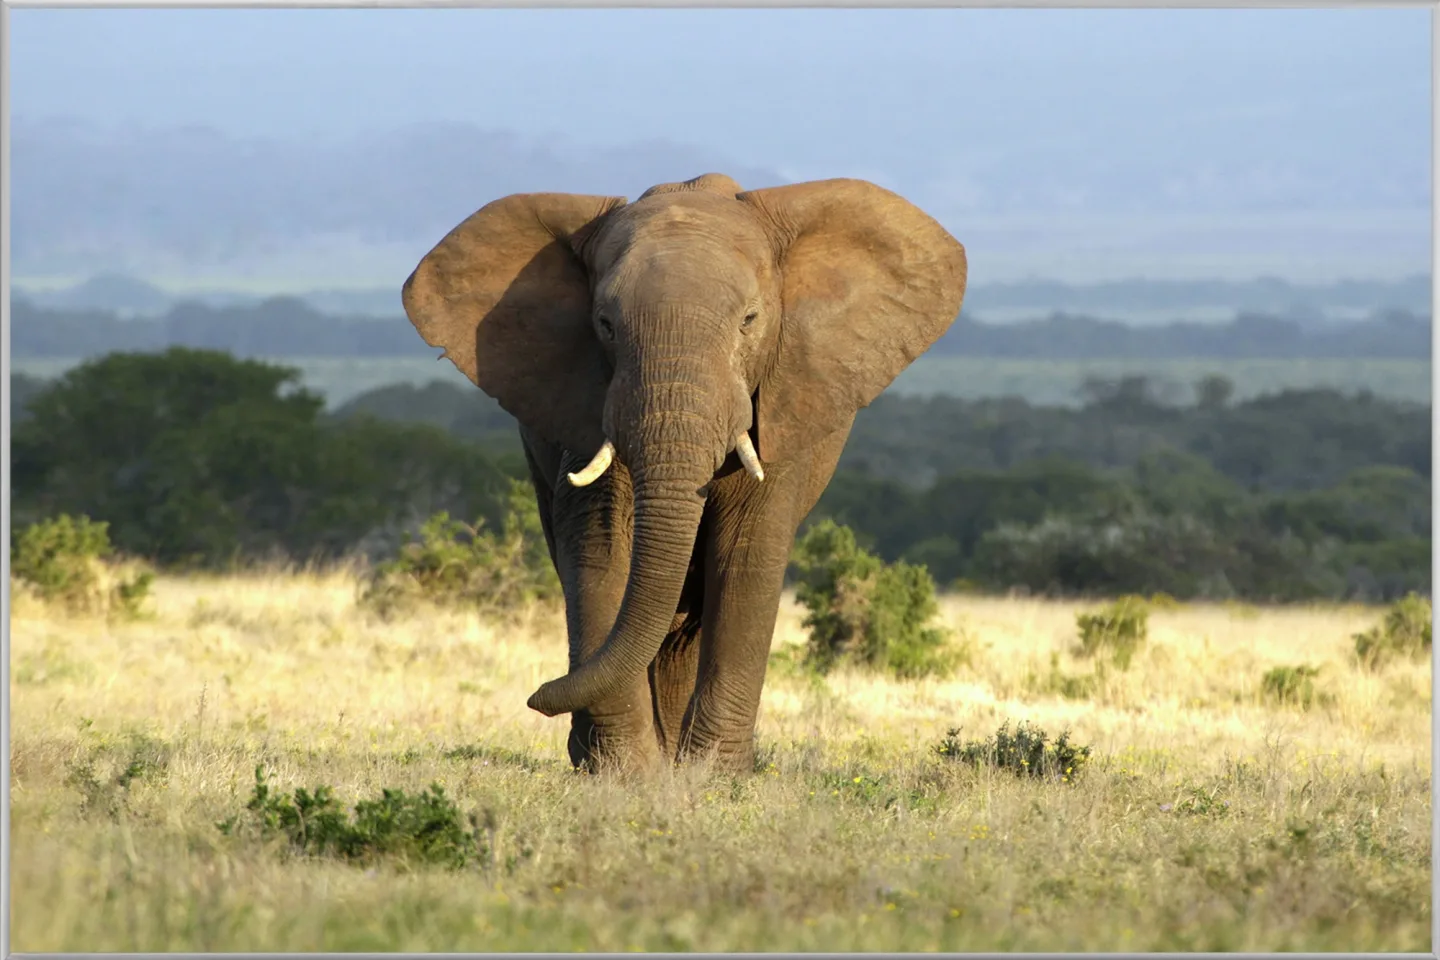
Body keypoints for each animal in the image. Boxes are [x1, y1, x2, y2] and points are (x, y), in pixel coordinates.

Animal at [401, 172, 967, 774]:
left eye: (749, 321)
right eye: (604, 325)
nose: (537, 695)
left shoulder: (783, 400)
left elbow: (746, 553)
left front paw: (711, 777)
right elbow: (600, 546)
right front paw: (626, 773)